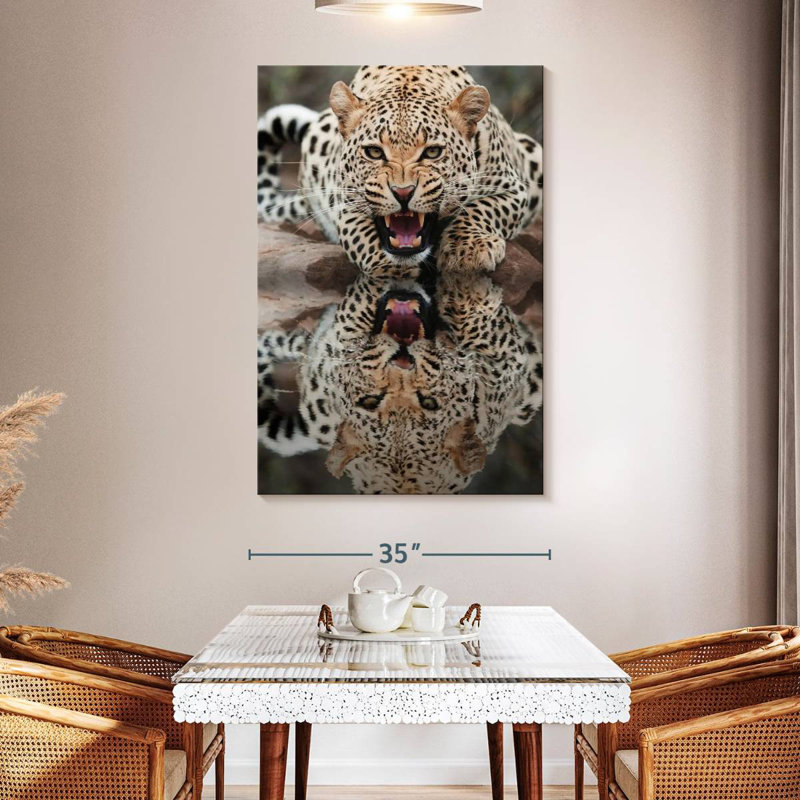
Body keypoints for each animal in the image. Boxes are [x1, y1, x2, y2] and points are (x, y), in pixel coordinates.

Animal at [258, 66, 542, 277]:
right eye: (374, 152)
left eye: (432, 152)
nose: (403, 193)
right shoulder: (345, 202)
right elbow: (361, 236)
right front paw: (389, 269)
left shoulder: (512, 187)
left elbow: (481, 209)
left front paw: (467, 251)